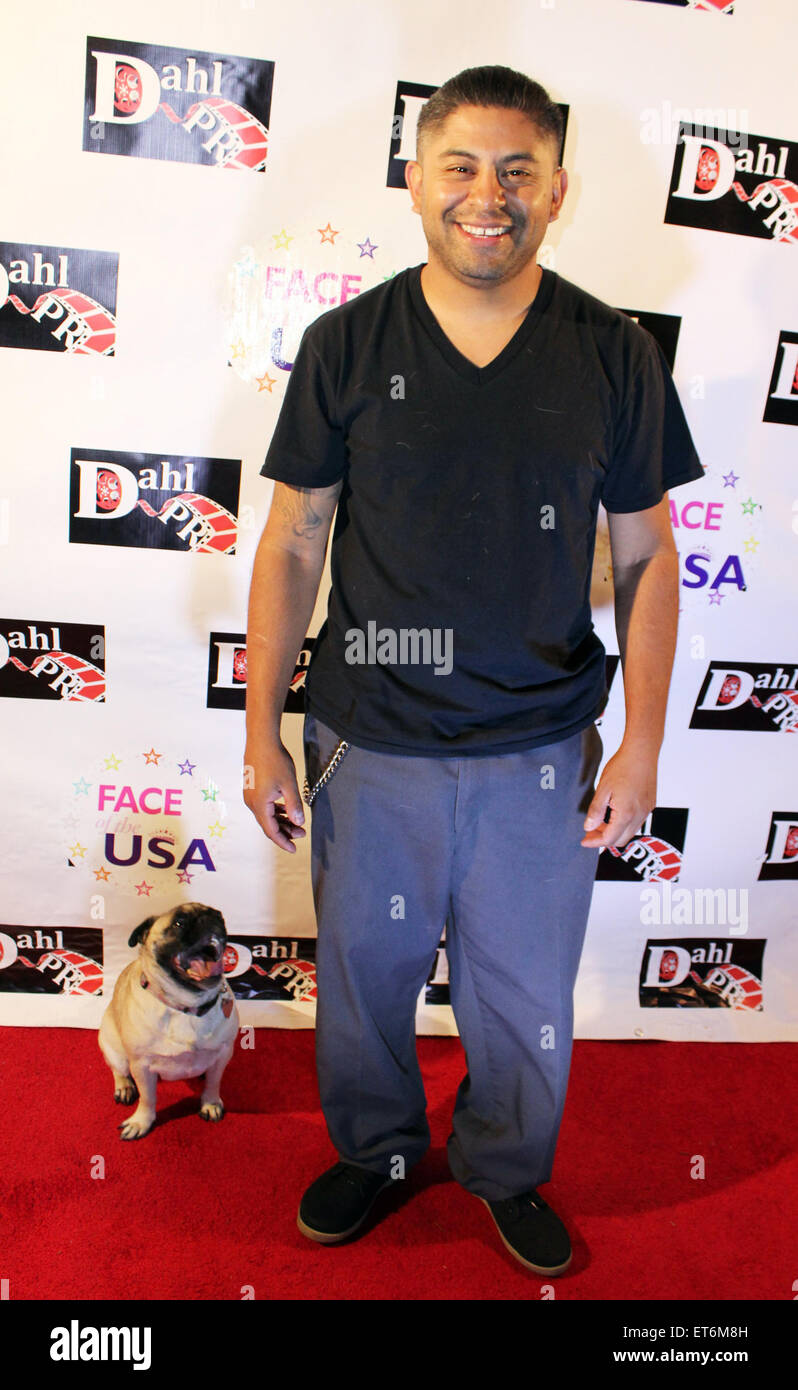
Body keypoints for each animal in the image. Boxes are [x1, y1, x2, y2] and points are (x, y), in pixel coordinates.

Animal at [98, 903, 239, 1140]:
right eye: (179, 923)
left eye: (219, 915)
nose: (211, 918)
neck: (186, 1005)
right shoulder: (142, 1065)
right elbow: (148, 1098)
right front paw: (142, 1121)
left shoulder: (223, 1054)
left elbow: (214, 1083)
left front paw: (210, 1104)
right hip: (112, 1047)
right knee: (119, 1070)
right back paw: (124, 1087)